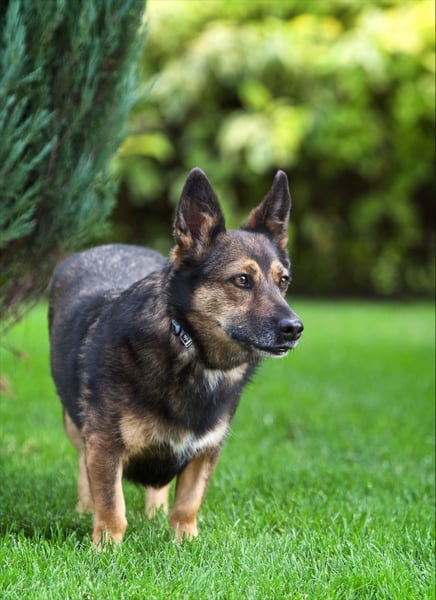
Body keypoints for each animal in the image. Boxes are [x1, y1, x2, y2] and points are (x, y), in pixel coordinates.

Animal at [48, 168, 303, 546]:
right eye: (242, 280)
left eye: (283, 281)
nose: (295, 328)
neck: (190, 351)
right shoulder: (105, 443)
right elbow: (112, 506)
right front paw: (106, 550)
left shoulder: (206, 449)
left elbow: (187, 503)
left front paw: (186, 543)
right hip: (73, 422)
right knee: (83, 465)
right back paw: (83, 509)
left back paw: (153, 514)